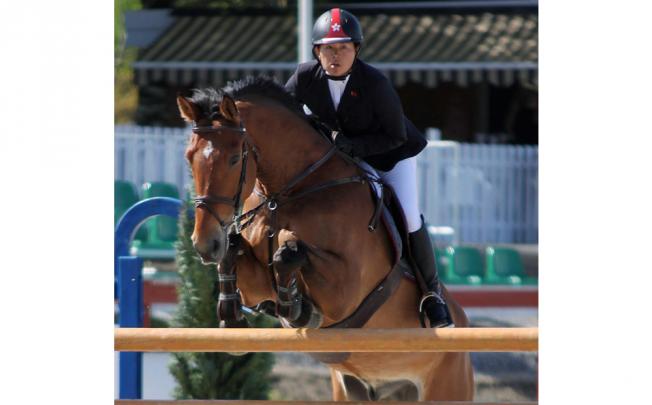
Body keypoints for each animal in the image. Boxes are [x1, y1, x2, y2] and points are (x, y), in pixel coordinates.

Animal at [177, 77, 474, 400]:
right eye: (189, 158)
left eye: (233, 159)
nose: (205, 245)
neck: (287, 192)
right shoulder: (256, 285)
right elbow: (236, 255)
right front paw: (232, 316)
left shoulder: (344, 292)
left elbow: (289, 245)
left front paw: (295, 305)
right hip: (354, 387)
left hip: (446, 383)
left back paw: (437, 309)